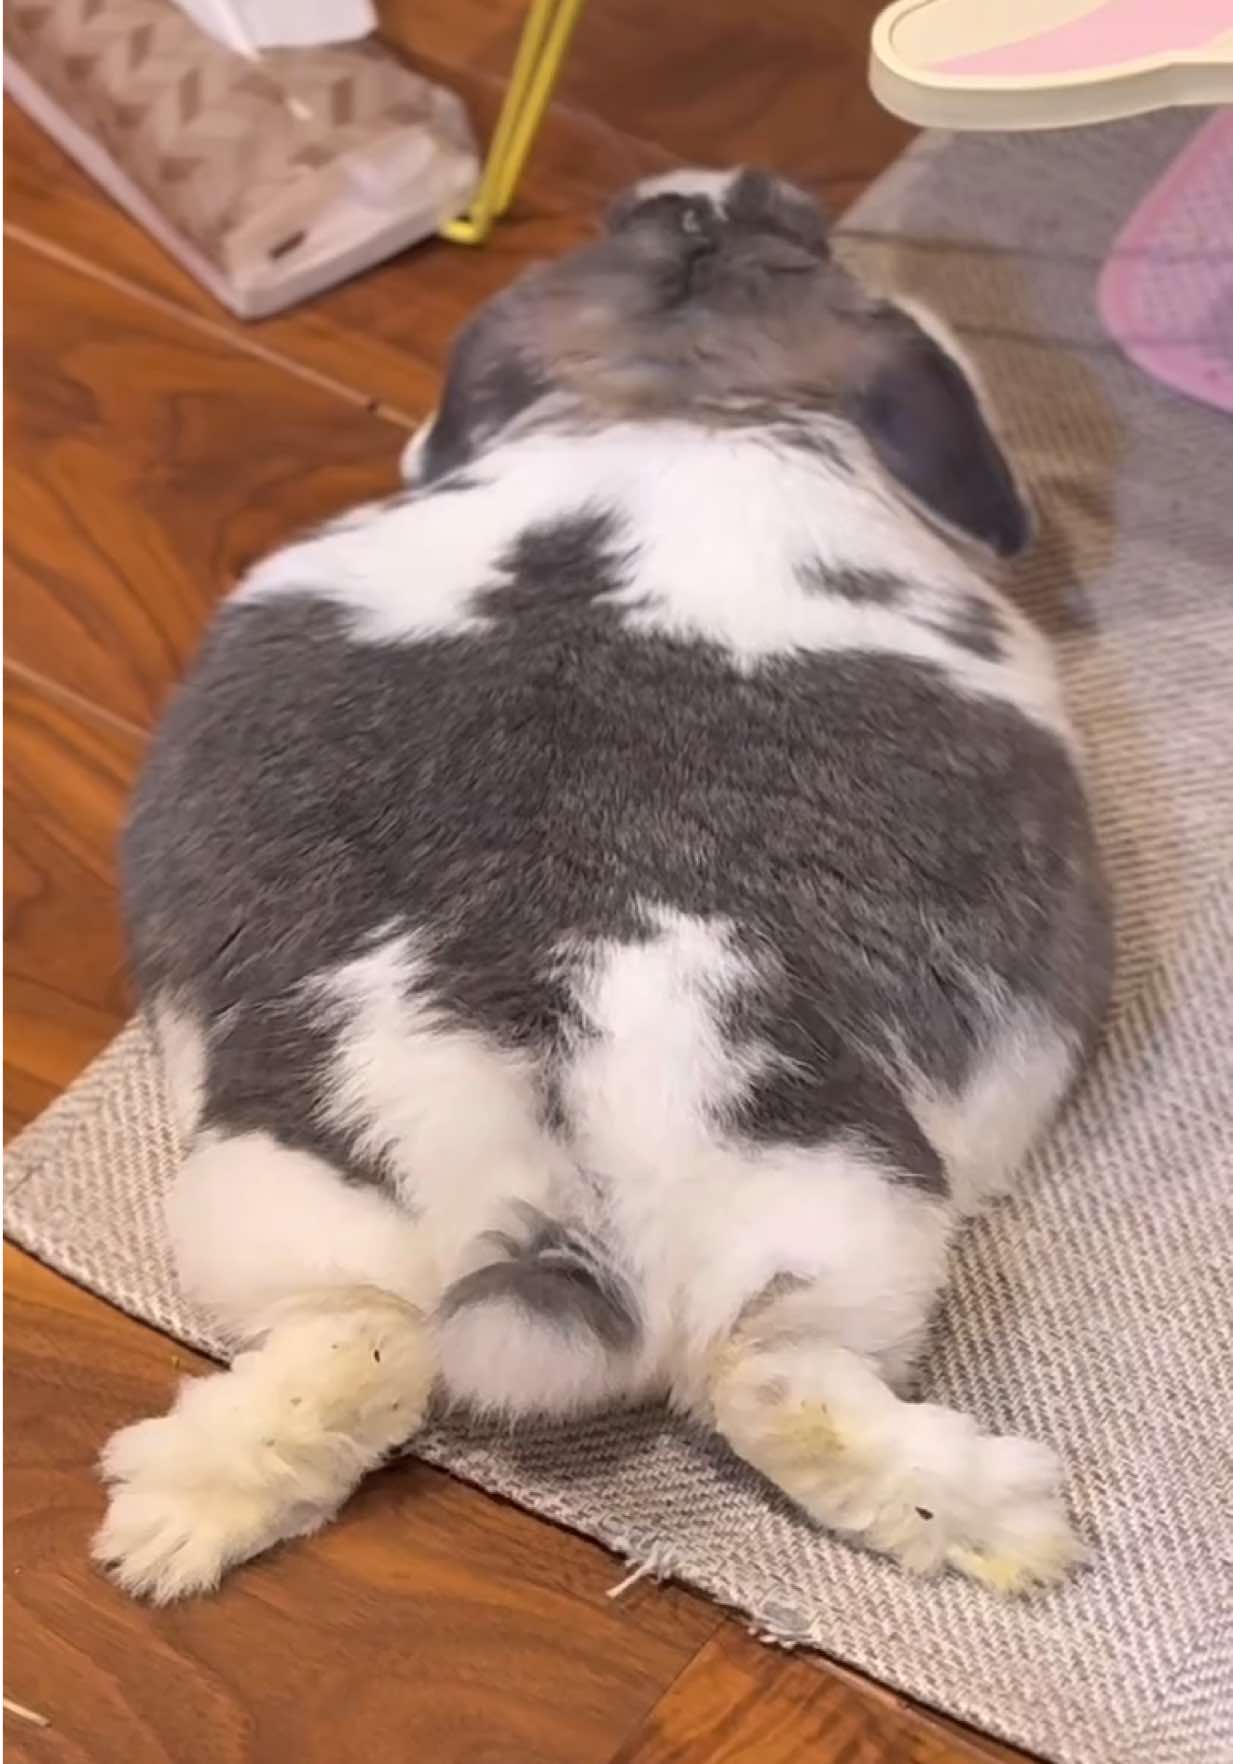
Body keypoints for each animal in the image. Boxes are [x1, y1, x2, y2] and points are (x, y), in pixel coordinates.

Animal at [94, 167, 1112, 1605]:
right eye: (800, 231)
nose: (718, 187)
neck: (671, 389)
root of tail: (542, 1168)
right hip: (836, 1216)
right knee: (765, 1373)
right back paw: (1014, 1525)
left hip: (279, 1190)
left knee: (357, 1345)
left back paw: (172, 1520)